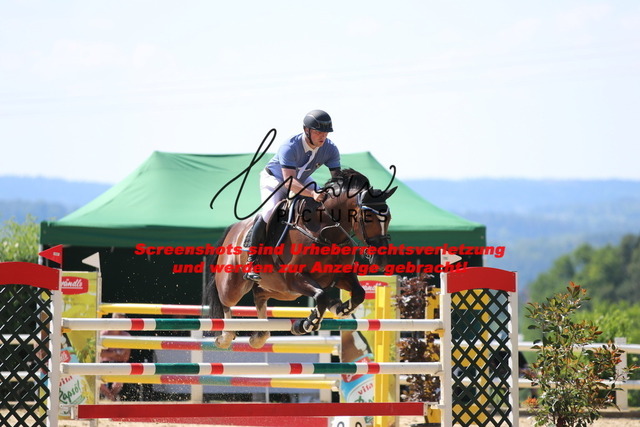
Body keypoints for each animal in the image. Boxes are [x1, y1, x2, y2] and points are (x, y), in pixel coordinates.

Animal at [205, 168, 397, 349]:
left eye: (388, 217)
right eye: (368, 217)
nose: (381, 261)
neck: (326, 232)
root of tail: (233, 229)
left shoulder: (340, 275)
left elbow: (359, 293)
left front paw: (341, 308)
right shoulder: (294, 277)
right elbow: (320, 296)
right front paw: (305, 324)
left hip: (280, 290)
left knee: (259, 296)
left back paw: (259, 337)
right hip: (235, 285)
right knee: (226, 301)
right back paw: (226, 337)